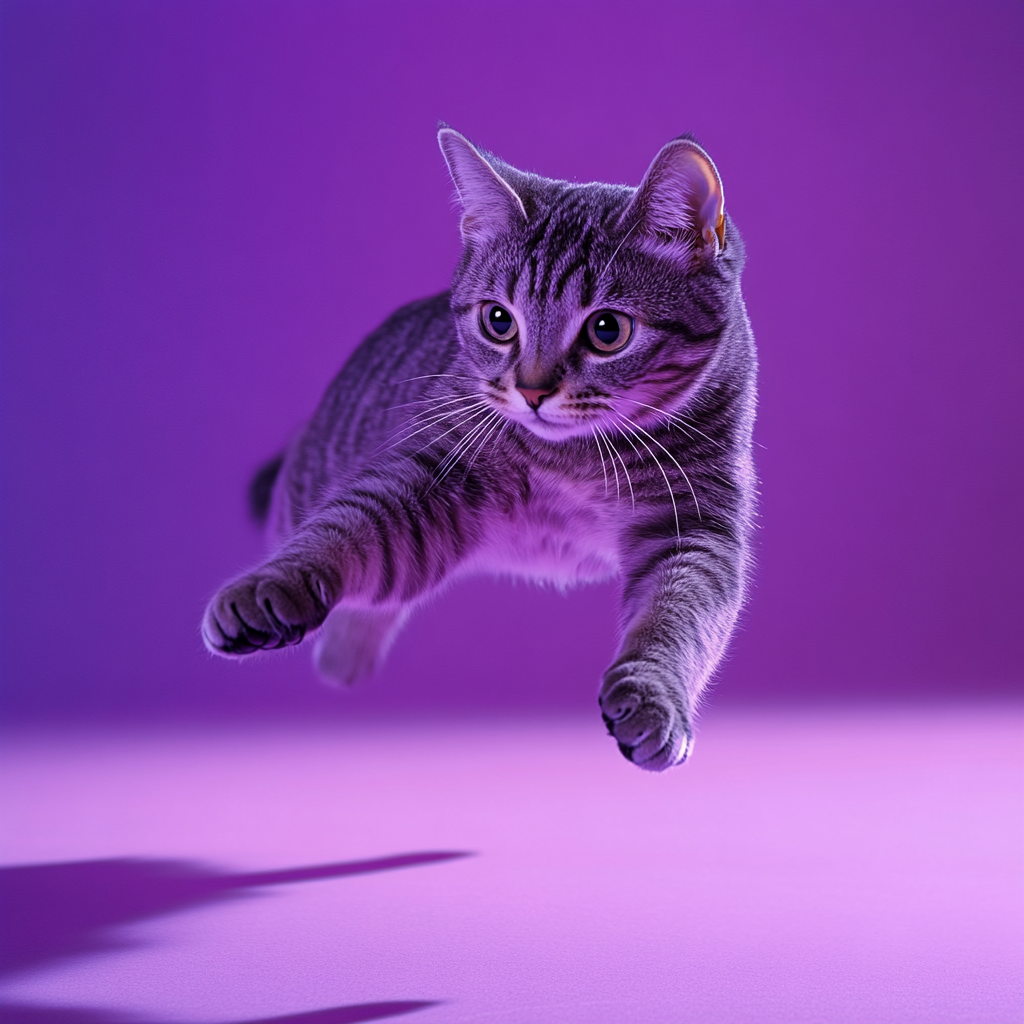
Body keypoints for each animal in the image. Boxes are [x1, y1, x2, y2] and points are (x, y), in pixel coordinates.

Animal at [203, 125, 757, 770]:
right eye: (498, 320)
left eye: (607, 330)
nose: (533, 390)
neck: (574, 460)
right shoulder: (426, 476)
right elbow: (342, 530)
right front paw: (270, 589)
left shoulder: (695, 526)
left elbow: (681, 615)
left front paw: (653, 695)